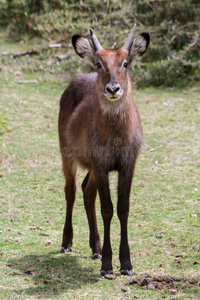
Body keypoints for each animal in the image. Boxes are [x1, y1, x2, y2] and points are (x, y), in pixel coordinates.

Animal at [58, 24, 149, 278]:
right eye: (99, 64)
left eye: (125, 63)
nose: (113, 88)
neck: (117, 137)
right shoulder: (101, 165)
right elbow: (107, 209)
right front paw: (108, 266)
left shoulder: (127, 165)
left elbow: (123, 209)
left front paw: (126, 264)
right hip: (67, 155)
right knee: (71, 190)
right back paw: (67, 243)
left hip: (91, 167)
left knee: (87, 191)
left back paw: (96, 249)